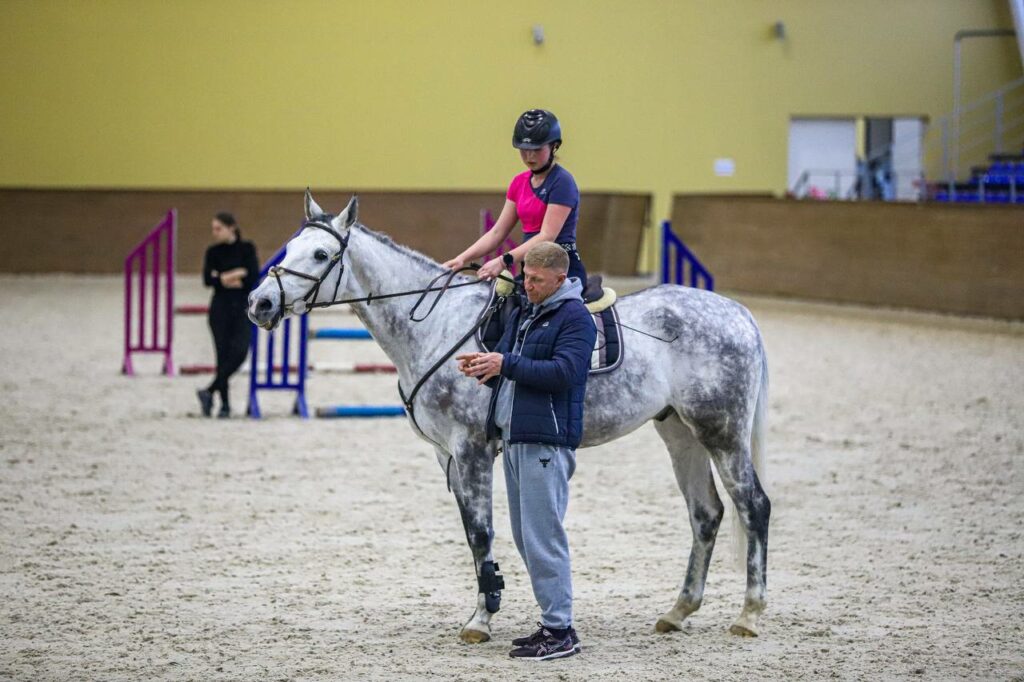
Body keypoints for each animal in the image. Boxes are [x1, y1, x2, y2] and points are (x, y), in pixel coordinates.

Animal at [251, 189, 770, 638]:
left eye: (321, 255)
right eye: (290, 247)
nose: (260, 302)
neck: (437, 326)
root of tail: (737, 313)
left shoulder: (472, 448)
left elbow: (482, 532)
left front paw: (481, 620)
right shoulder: (447, 456)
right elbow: (471, 533)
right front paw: (487, 603)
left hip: (721, 431)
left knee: (753, 506)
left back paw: (749, 613)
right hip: (680, 432)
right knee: (706, 513)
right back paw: (678, 611)